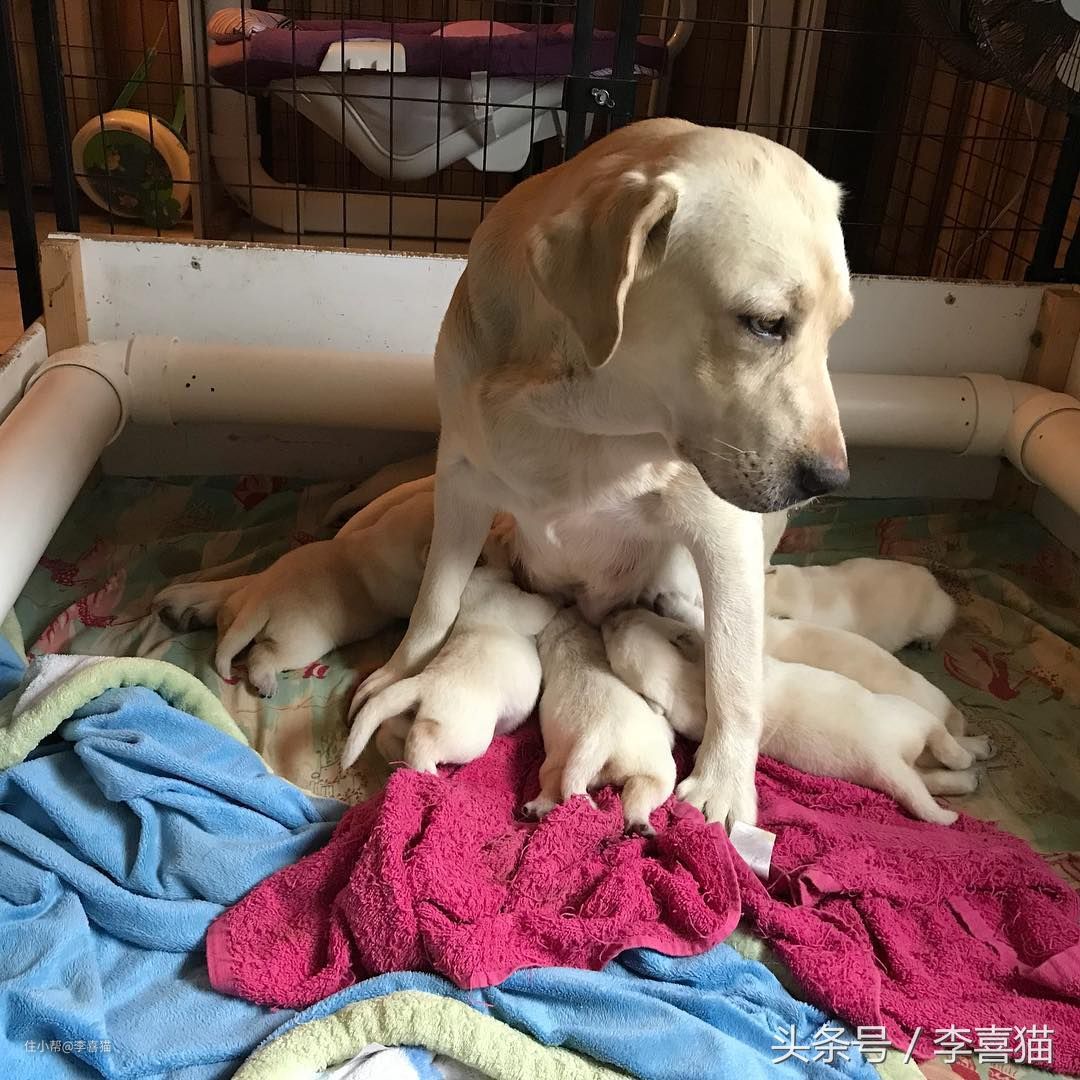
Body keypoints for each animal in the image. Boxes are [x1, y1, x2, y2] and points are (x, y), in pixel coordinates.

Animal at [152, 488, 434, 697]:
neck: (383, 540)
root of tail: (261, 601)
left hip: (240, 604)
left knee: (226, 622)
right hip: (301, 643)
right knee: (261, 655)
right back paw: (265, 682)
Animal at [342, 564, 556, 771]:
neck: (481, 586)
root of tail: (421, 684)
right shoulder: (522, 604)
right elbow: (545, 604)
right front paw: (559, 599)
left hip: (407, 715)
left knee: (387, 731)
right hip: (466, 735)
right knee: (420, 740)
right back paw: (427, 773)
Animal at [601, 608, 992, 825]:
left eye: (627, 621)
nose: (611, 615)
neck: (684, 683)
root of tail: (889, 760)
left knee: (933, 770)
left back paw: (972, 766)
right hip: (905, 720)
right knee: (942, 747)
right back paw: (971, 759)